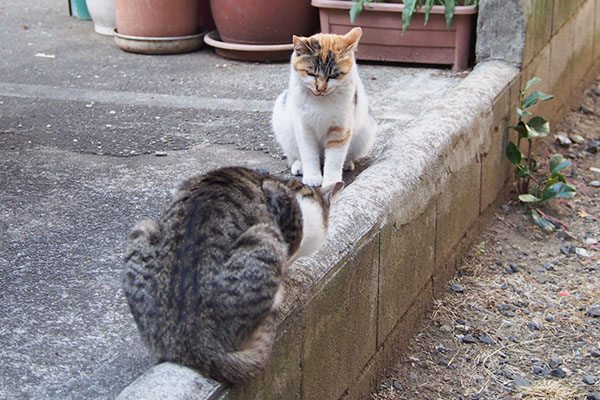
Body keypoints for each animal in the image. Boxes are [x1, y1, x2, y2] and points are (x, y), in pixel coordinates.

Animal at [272, 28, 376, 188]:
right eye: (310, 73)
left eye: (333, 75)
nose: (320, 88)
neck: (320, 100)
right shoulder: (304, 128)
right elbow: (309, 154)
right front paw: (312, 176)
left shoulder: (340, 128)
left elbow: (334, 158)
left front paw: (331, 182)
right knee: (295, 155)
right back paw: (299, 166)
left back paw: (346, 163)